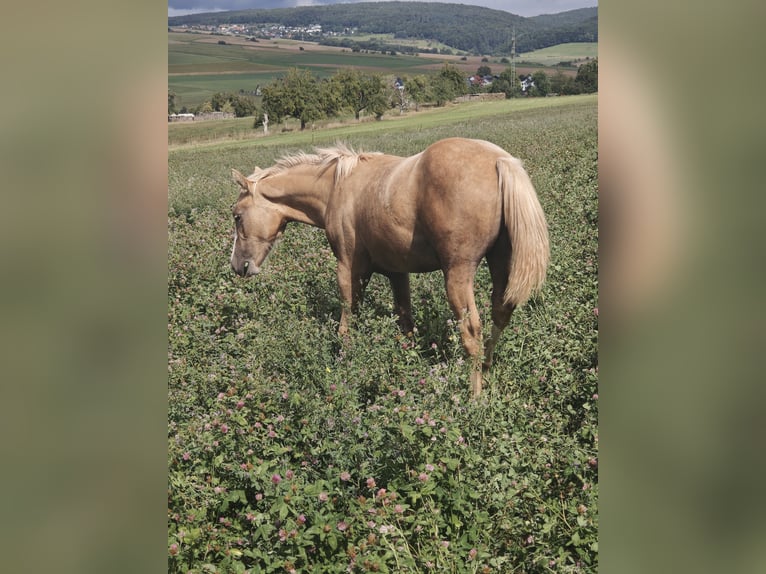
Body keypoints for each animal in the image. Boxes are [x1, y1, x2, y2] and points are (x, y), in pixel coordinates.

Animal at [230, 138, 549, 396]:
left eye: (237, 216)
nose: (238, 267)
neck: (338, 187)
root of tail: (499, 161)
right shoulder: (398, 272)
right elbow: (405, 320)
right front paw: (407, 362)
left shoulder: (349, 268)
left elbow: (347, 318)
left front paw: (344, 361)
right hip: (500, 264)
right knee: (500, 314)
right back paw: (486, 371)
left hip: (457, 274)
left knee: (471, 330)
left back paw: (475, 395)